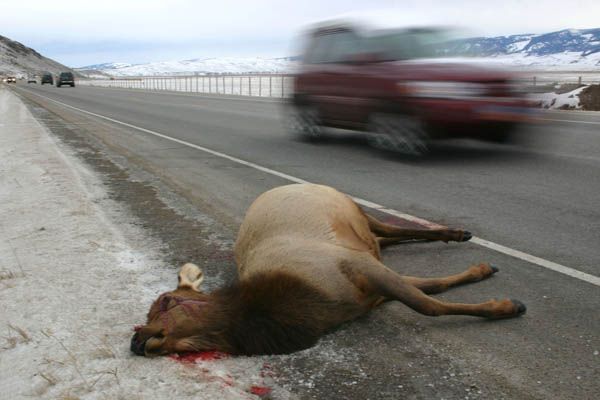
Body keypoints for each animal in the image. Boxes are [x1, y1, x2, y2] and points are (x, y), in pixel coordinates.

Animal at [131, 184, 524, 356]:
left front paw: (506, 305)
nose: (137, 341)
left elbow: (429, 305)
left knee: (390, 226)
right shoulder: (371, 290)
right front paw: (481, 272)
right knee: (388, 237)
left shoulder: (357, 266)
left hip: (351, 208)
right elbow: (434, 289)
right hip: (365, 239)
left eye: (164, 302)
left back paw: (456, 233)